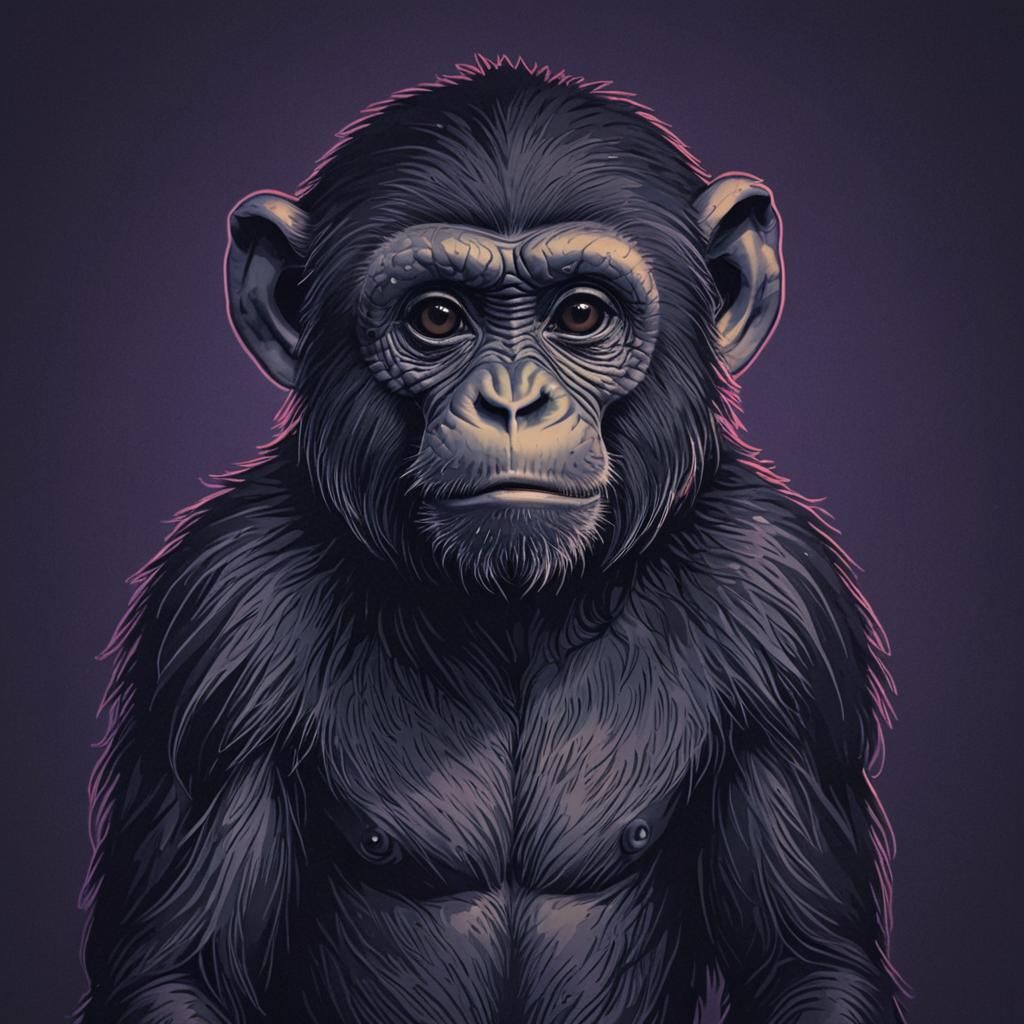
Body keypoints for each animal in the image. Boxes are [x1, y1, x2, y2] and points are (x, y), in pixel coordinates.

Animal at [77, 56, 904, 1024]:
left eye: (580, 314)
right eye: (438, 317)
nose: (512, 401)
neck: (513, 613)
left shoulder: (784, 604)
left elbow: (808, 960)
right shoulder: (220, 615)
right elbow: (183, 967)